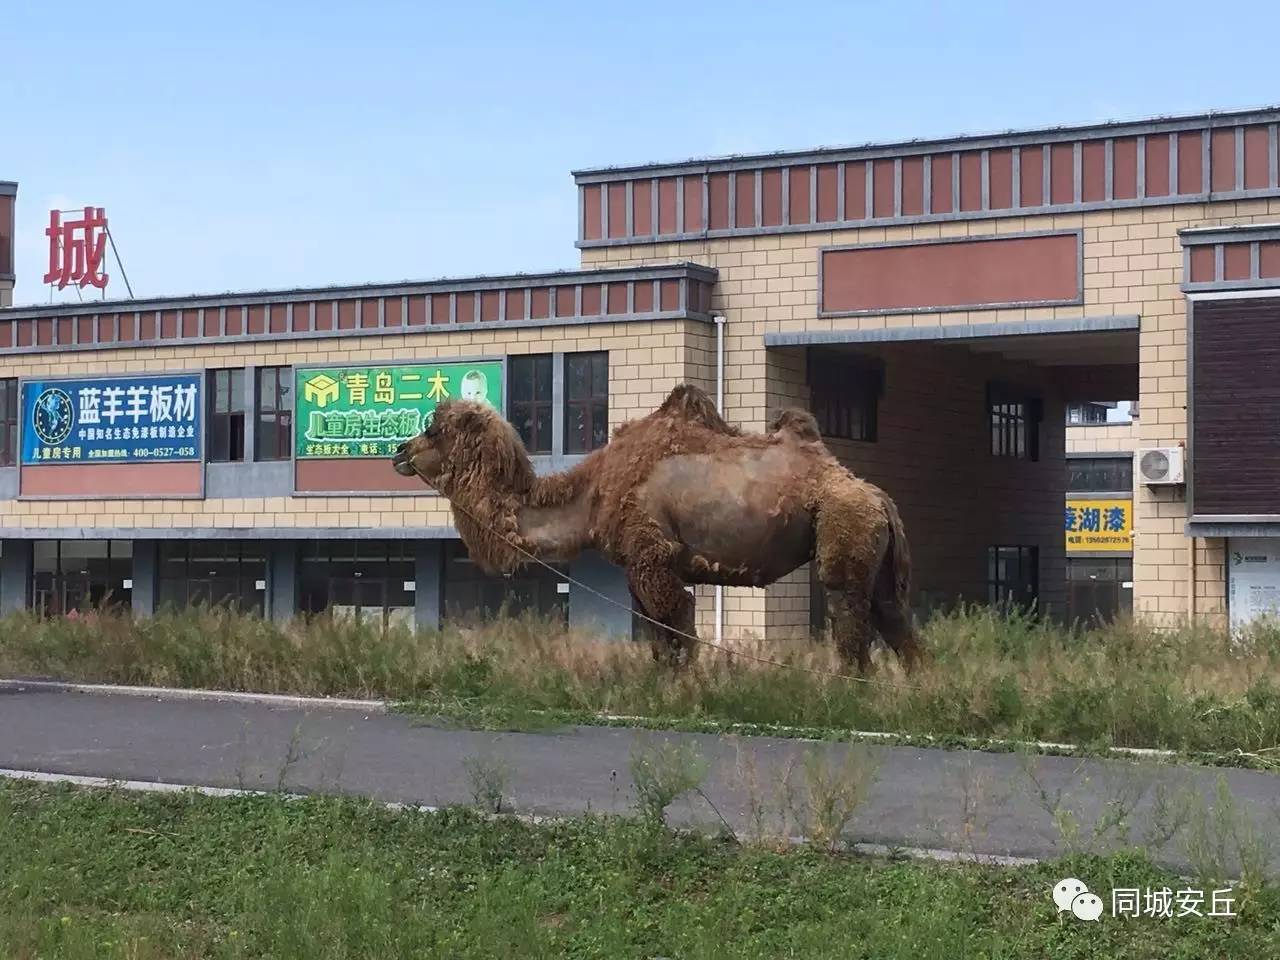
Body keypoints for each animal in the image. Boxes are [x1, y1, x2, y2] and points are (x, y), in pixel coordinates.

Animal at [389, 378, 921, 670]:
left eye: (433, 428)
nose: (398, 451)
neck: (593, 494)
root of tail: (880, 499)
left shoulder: (653, 556)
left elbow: (677, 623)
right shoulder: (637, 568)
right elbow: (657, 636)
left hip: (843, 528)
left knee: (850, 614)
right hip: (874, 551)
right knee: (894, 618)